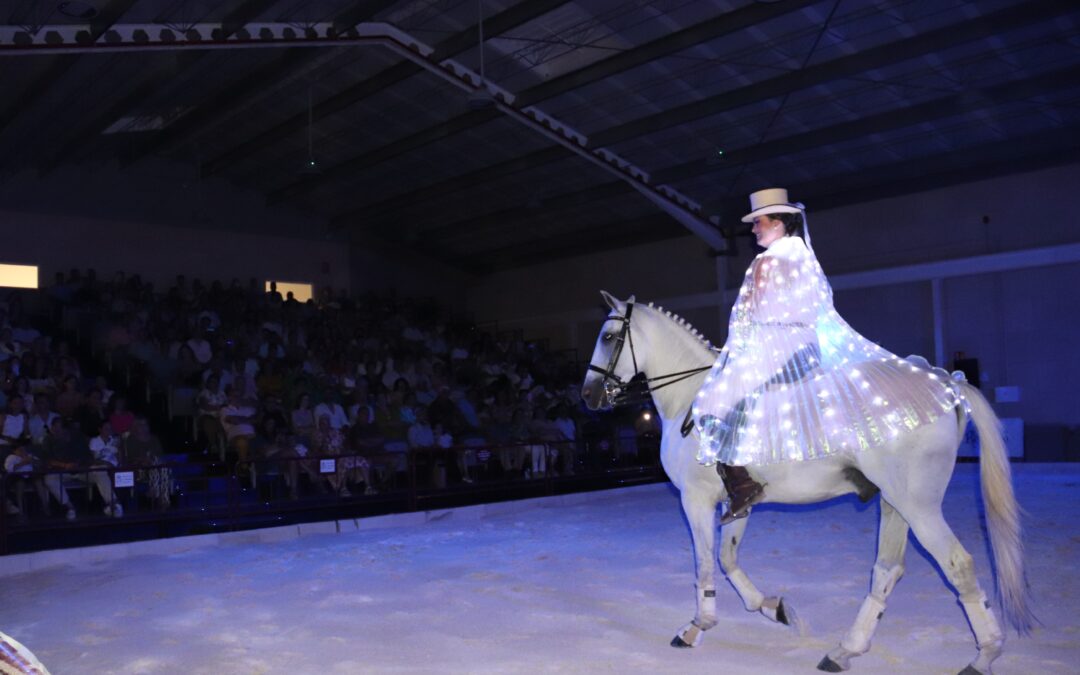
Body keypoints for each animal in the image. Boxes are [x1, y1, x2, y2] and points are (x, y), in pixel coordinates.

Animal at [578, 291, 1032, 673]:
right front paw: (773, 608)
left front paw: (697, 626)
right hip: (895, 504)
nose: (588, 396)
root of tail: (944, 383)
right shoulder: (737, 502)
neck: (690, 396)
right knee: (887, 570)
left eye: (608, 336)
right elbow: (728, 559)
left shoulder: (696, 498)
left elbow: (705, 561)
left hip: (918, 506)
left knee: (957, 565)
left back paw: (984, 655)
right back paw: (845, 650)